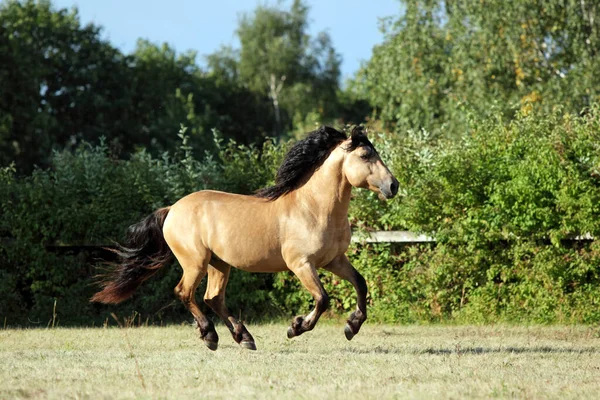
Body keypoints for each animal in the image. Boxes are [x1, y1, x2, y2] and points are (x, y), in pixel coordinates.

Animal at [91, 125, 398, 350]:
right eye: (365, 156)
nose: (393, 186)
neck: (313, 208)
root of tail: (172, 209)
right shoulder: (301, 264)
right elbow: (322, 299)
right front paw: (296, 327)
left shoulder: (333, 260)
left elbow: (360, 283)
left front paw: (352, 326)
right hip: (195, 262)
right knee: (185, 293)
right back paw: (211, 336)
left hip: (219, 264)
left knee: (213, 297)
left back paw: (244, 338)